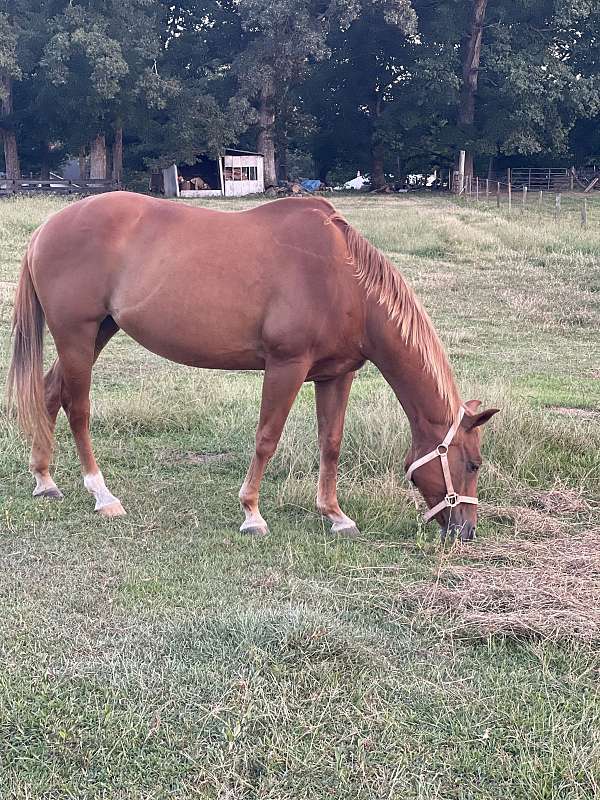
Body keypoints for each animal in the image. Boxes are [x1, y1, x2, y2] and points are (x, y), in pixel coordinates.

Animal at [7, 193, 498, 541]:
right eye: (472, 464)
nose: (467, 532)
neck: (344, 278)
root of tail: (47, 228)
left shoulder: (337, 374)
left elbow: (331, 443)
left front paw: (335, 515)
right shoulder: (286, 365)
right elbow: (266, 439)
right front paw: (252, 514)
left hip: (98, 333)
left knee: (50, 393)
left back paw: (44, 480)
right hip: (77, 335)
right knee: (78, 408)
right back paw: (102, 494)